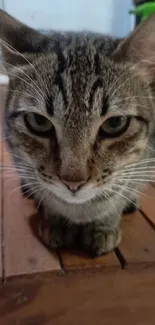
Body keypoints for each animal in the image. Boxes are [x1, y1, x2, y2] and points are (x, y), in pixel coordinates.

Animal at [0, 10, 154, 256]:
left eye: (115, 123)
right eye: (38, 121)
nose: (72, 182)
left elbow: (116, 199)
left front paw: (104, 225)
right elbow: (48, 197)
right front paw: (56, 222)